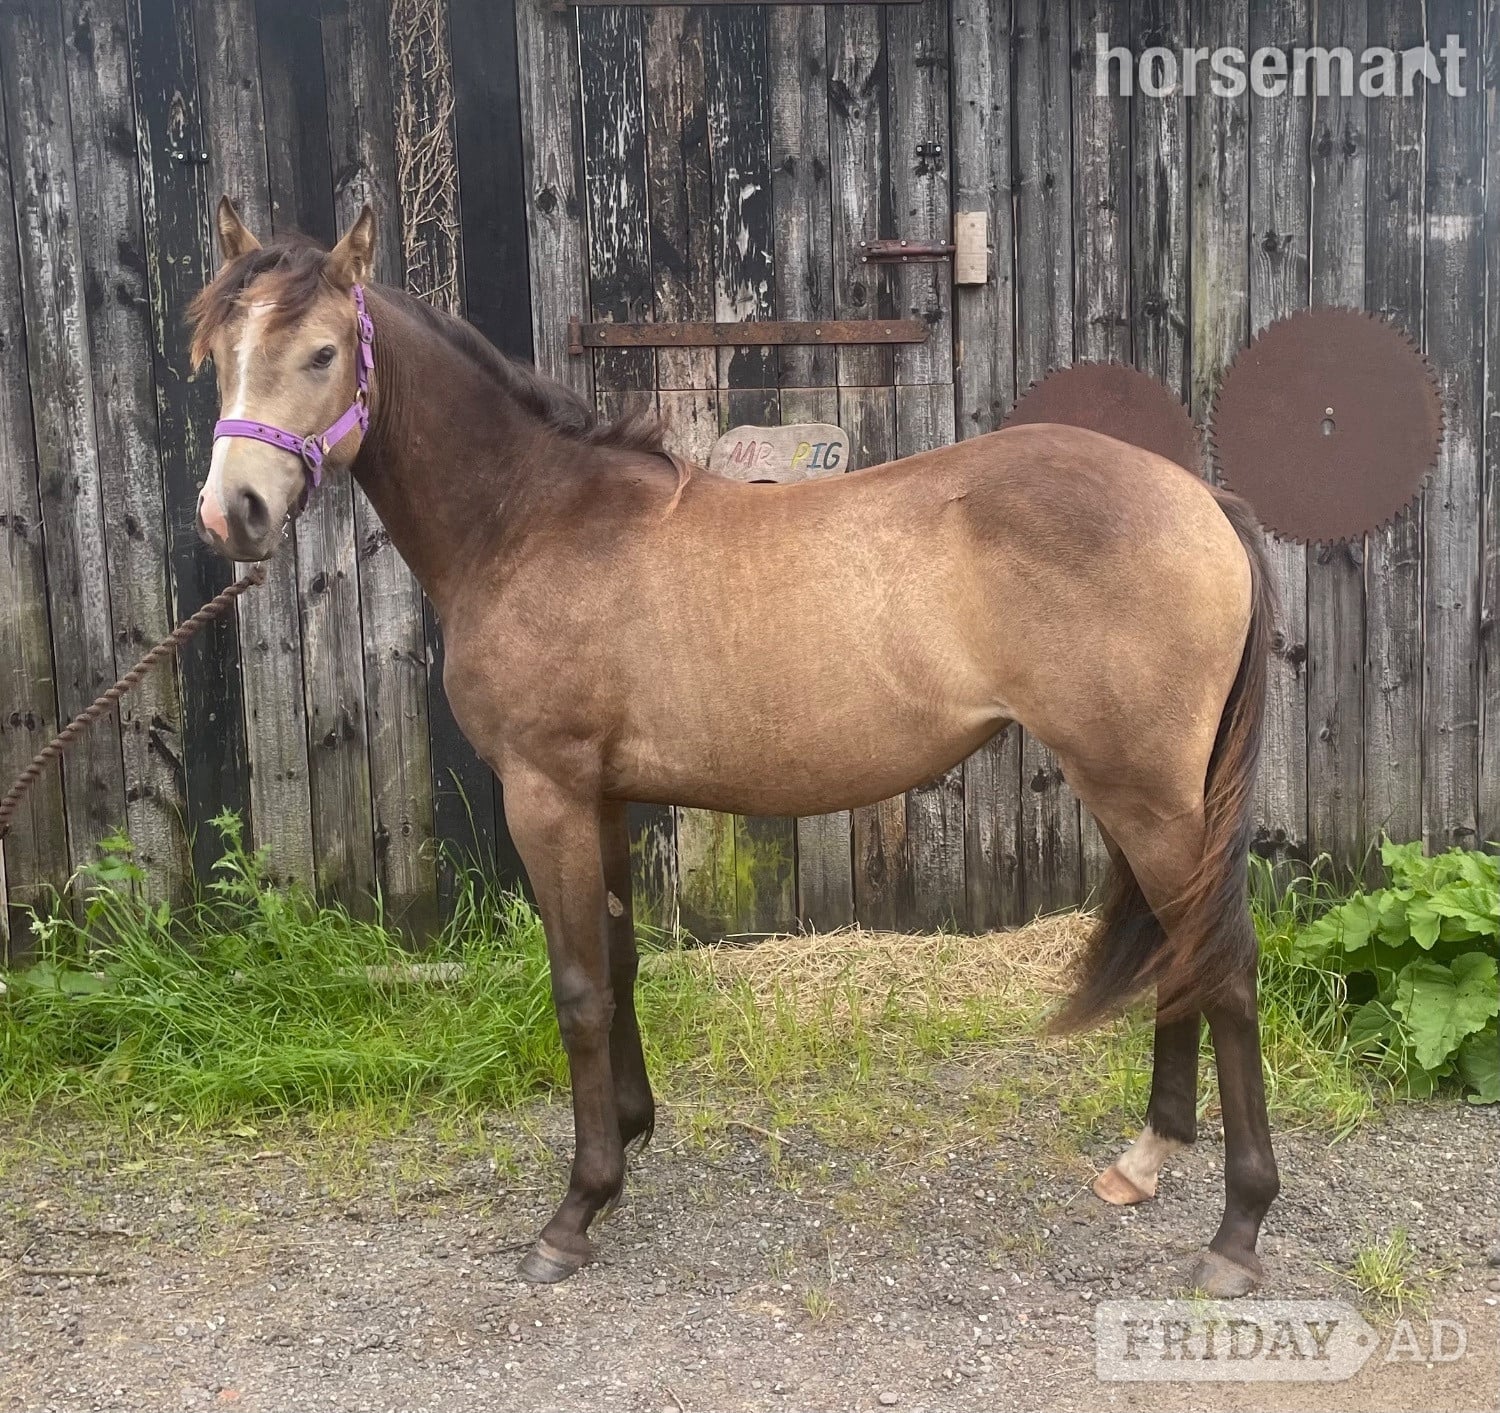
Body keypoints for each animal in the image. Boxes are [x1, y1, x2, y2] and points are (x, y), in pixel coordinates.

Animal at [190, 199, 1280, 1297]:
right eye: (221, 354)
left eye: (323, 352)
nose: (232, 512)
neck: (533, 521)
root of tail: (1202, 503)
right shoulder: (603, 797)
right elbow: (620, 962)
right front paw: (629, 1138)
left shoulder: (545, 792)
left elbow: (577, 988)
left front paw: (574, 1212)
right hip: (1140, 795)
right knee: (1183, 951)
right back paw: (1144, 1161)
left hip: (1147, 794)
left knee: (1225, 966)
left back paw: (1236, 1231)